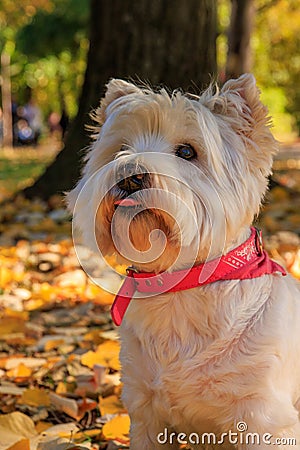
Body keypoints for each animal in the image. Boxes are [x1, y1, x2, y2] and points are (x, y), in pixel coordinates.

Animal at [68, 75, 300, 448]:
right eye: (120, 150)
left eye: (187, 152)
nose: (129, 175)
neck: (180, 289)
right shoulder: (145, 410)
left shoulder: (262, 416)